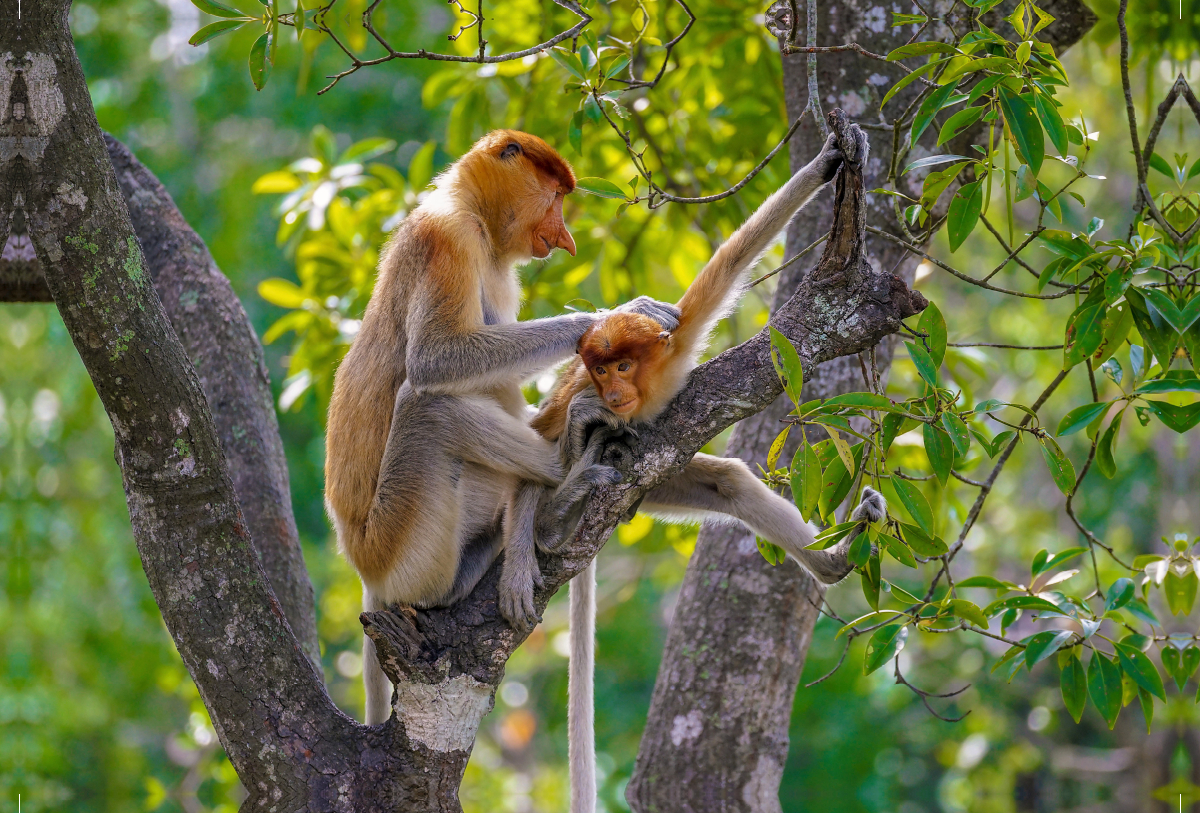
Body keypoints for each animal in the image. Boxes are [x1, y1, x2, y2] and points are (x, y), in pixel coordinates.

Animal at [326, 130, 686, 729]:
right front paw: (612, 316)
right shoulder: (446, 241)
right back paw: (566, 472)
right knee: (429, 404)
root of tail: (365, 572)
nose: (564, 236)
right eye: (557, 195)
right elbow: (435, 360)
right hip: (403, 544)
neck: (469, 208)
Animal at [501, 130, 888, 810]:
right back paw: (555, 520)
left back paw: (833, 563)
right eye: (599, 369)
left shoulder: (677, 338)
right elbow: (536, 437)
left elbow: (731, 262)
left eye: (621, 366)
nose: (611, 391)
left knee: (726, 481)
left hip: (665, 480)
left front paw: (829, 162)